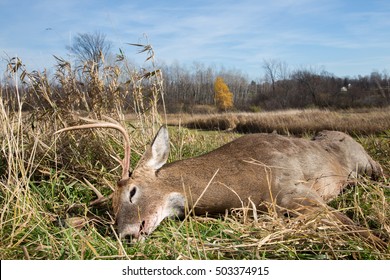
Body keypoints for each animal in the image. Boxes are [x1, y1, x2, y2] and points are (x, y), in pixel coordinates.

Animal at [55, 118, 386, 247]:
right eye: (111, 210)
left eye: (132, 192)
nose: (124, 234)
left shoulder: (292, 189)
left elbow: (351, 225)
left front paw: (381, 242)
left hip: (369, 164)